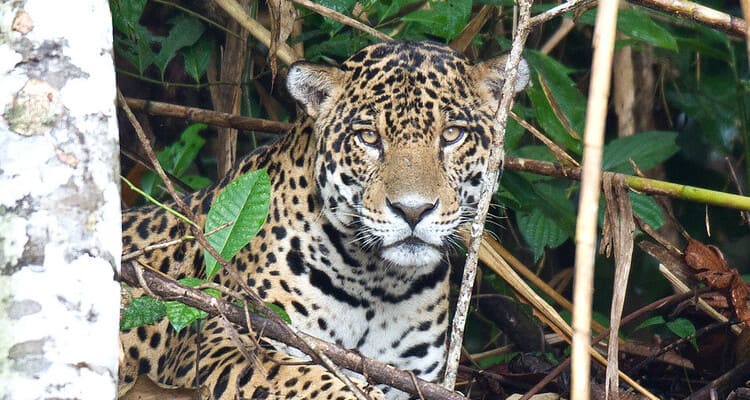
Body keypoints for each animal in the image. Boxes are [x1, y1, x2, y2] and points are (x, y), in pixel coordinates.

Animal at [119, 40, 529, 399]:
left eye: (452, 135)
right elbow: (307, 378)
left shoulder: (413, 375)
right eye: (368, 137)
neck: (381, 286)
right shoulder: (226, 340)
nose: (412, 210)